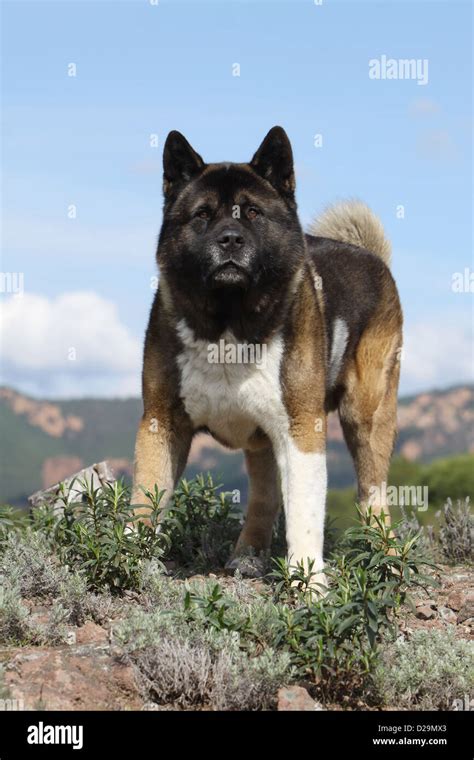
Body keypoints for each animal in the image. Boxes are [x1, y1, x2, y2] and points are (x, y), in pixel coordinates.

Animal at [131, 126, 402, 580]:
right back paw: (248, 554)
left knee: (373, 494)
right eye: (202, 215)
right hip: (261, 439)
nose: (230, 239)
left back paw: (389, 559)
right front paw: (124, 560)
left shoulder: (301, 429)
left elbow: (305, 512)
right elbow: (144, 500)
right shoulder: (161, 423)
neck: (229, 322)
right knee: (265, 495)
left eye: (254, 213)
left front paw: (309, 583)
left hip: (365, 417)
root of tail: (372, 257)